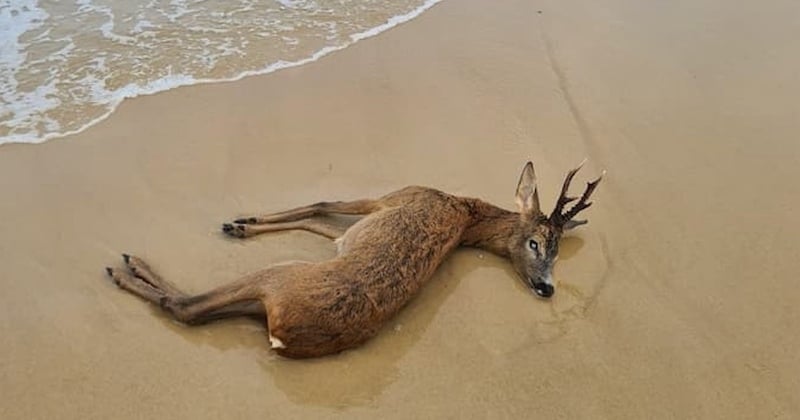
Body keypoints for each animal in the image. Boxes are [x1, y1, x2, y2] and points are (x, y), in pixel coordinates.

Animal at [108, 161, 608, 358]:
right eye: (537, 244)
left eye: (554, 249)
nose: (547, 287)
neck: (462, 208)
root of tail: (283, 333)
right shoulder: (354, 229)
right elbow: (318, 220)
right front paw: (245, 223)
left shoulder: (390, 199)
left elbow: (320, 201)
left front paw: (241, 221)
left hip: (279, 275)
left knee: (187, 307)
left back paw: (125, 267)